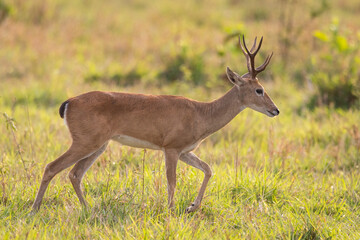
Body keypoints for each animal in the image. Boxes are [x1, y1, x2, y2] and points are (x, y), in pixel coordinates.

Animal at [31, 35, 278, 212]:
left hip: (99, 146)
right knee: (52, 167)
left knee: (75, 174)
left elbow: (208, 169)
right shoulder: (171, 149)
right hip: (85, 143)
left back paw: (88, 209)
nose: (275, 110)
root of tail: (68, 102)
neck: (201, 113)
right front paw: (171, 210)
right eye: (259, 89)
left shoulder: (185, 151)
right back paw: (35, 209)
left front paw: (191, 207)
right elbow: (172, 181)